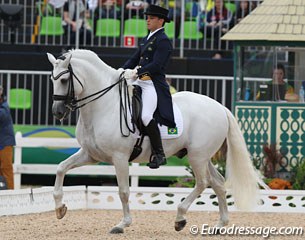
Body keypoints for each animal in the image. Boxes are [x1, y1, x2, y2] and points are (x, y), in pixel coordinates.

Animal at [47, 49, 262, 234]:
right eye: (52, 79)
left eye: (64, 80)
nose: (57, 112)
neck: (104, 106)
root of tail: (220, 107)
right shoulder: (90, 155)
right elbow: (61, 168)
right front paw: (59, 208)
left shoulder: (120, 158)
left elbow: (123, 191)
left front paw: (122, 224)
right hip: (203, 156)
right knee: (217, 182)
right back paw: (219, 224)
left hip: (197, 156)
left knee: (203, 182)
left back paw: (180, 218)